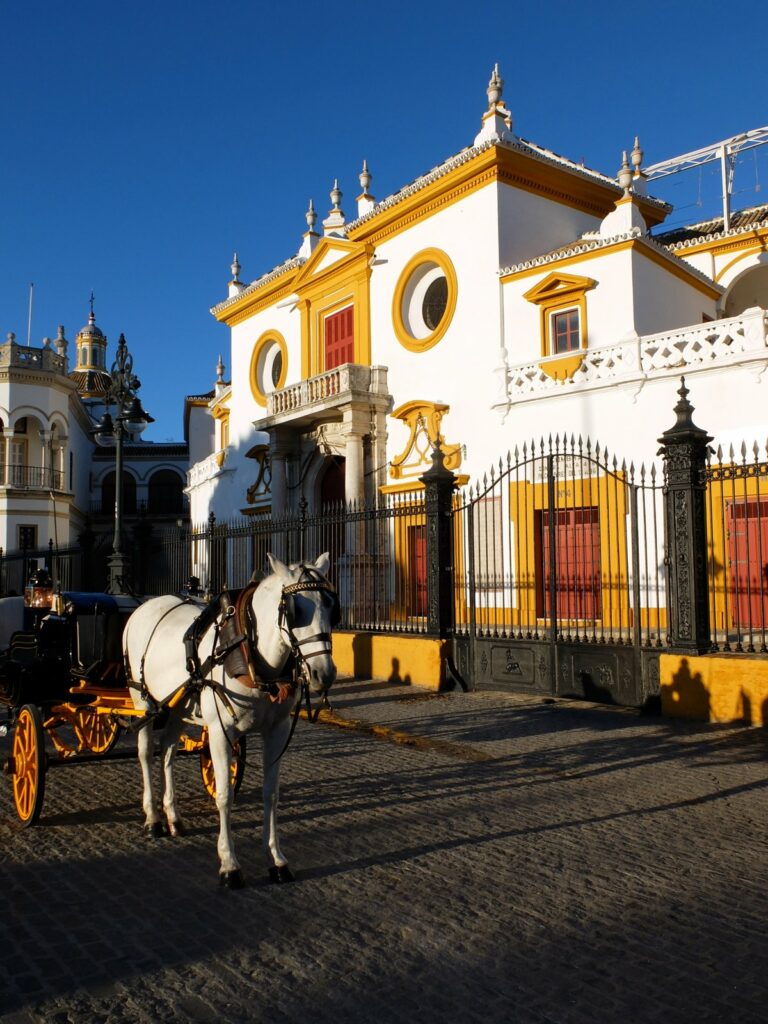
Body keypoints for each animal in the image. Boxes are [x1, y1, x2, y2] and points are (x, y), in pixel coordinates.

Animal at [121, 552, 337, 888]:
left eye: (330, 606)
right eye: (295, 610)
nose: (323, 674)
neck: (251, 654)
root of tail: (143, 606)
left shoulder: (277, 731)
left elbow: (271, 794)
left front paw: (276, 859)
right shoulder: (221, 733)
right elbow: (224, 795)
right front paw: (229, 864)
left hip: (180, 705)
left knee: (167, 749)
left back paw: (173, 816)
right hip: (143, 700)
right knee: (145, 753)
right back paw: (153, 819)